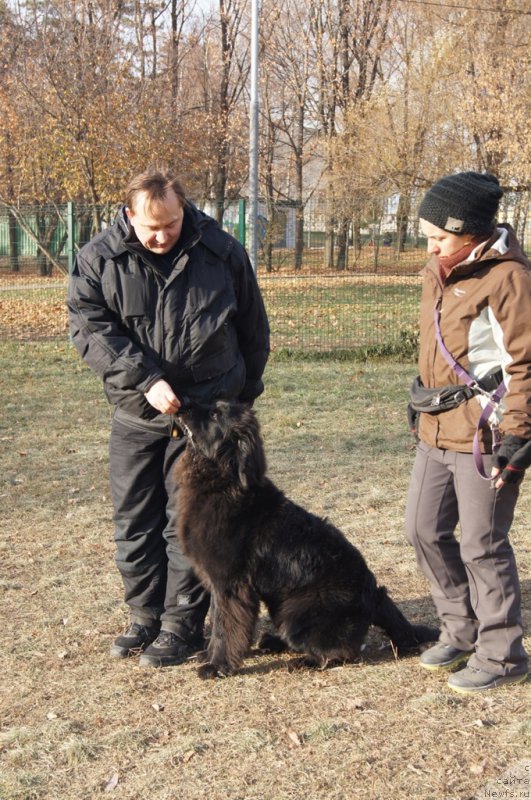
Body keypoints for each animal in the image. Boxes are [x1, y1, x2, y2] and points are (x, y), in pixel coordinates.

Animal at [174, 400, 436, 676]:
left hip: (296, 613)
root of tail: (374, 595)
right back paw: (273, 641)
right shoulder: (217, 583)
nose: (183, 404)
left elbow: (225, 627)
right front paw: (209, 655)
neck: (222, 479)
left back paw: (302, 661)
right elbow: (217, 620)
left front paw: (218, 666)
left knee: (341, 653)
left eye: (215, 414)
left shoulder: (230, 584)